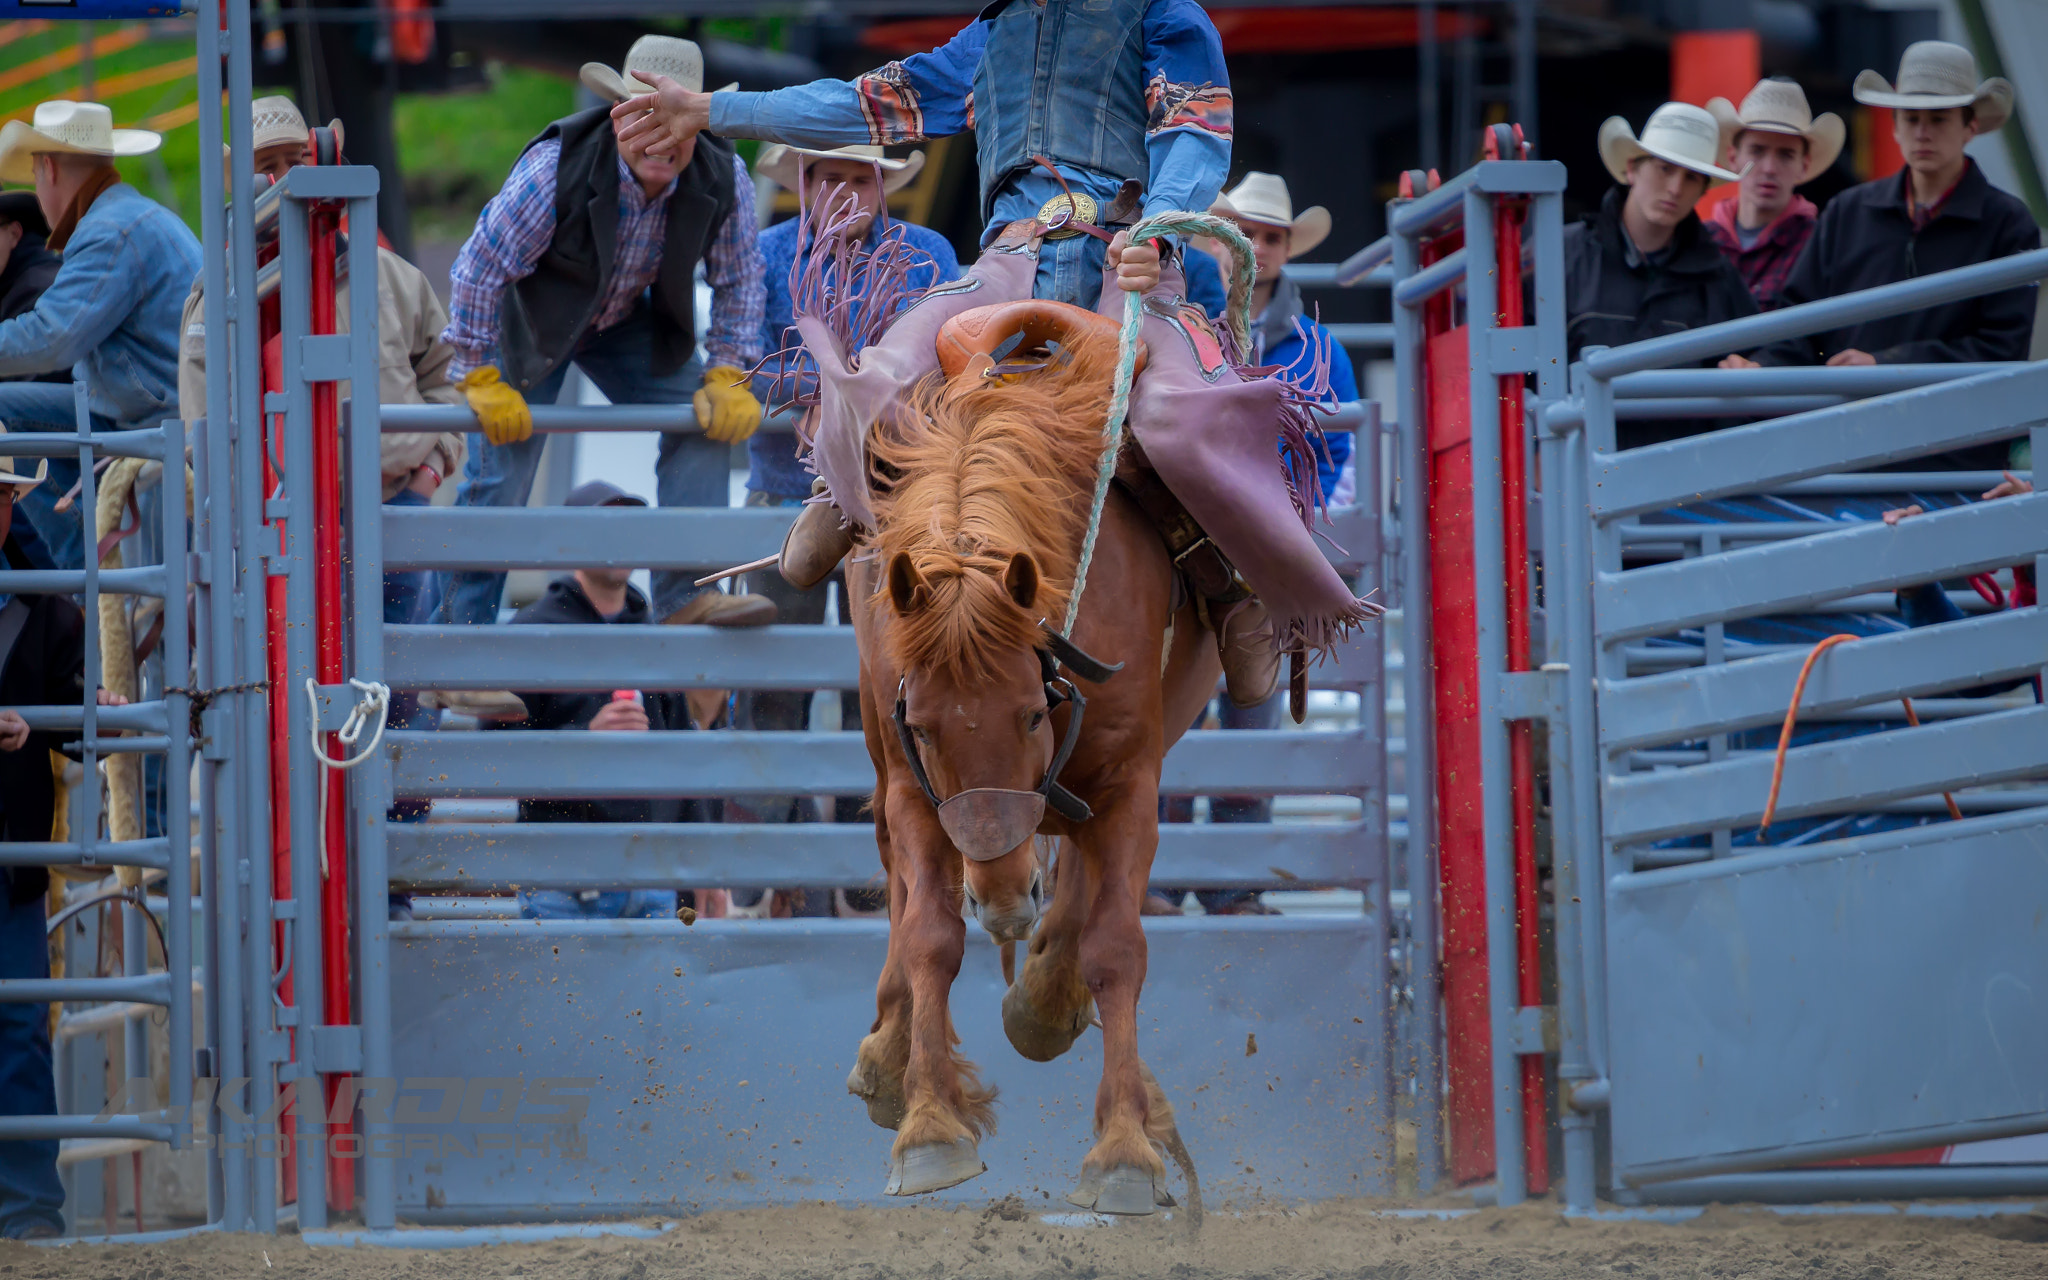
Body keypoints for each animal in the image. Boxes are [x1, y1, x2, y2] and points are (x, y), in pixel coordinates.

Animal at [843, 299, 1212, 1220]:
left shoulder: (1129, 780)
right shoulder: (913, 785)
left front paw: (1123, 1152)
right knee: (902, 894)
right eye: (926, 725)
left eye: (1033, 710)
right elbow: (928, 935)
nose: (1006, 898)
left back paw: (1050, 999)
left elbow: (1117, 946)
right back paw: (891, 1057)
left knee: (1080, 883)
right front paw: (930, 1128)